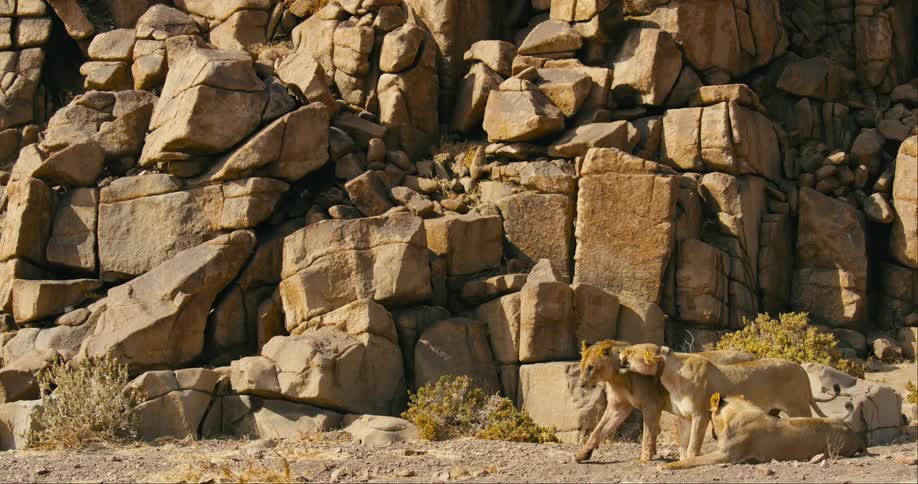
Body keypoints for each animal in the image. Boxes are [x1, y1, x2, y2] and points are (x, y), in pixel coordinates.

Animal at [576, 340, 756, 463]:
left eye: (591, 367)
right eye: (582, 366)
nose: (582, 384)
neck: (616, 378)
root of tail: (754, 355)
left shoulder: (651, 404)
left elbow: (648, 433)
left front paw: (645, 457)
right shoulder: (618, 407)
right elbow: (598, 430)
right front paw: (583, 453)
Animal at [617, 343, 839, 459]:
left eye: (630, 351)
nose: (619, 352)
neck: (671, 374)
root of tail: (801, 368)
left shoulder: (701, 414)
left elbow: (693, 443)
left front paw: (691, 458)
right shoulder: (685, 417)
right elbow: (683, 443)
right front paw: (683, 460)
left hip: (797, 406)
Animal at [659, 393, 865, 470]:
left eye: (709, 416)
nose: (713, 434)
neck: (731, 419)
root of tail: (854, 433)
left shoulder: (727, 455)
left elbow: (693, 459)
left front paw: (665, 466)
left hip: (833, 447)